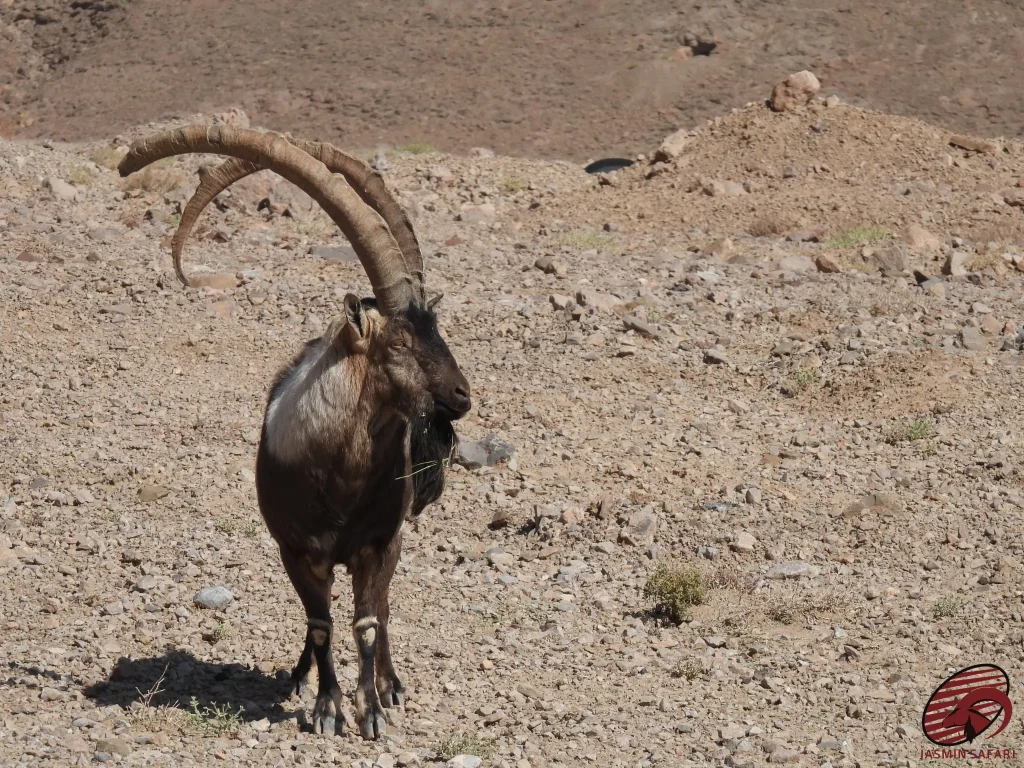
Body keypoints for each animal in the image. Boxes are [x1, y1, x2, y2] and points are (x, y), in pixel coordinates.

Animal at [119, 126, 472, 740]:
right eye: (399, 342)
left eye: (437, 330)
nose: (462, 396)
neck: (342, 480)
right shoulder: (297, 550)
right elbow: (322, 624)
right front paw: (327, 708)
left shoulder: (378, 544)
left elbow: (367, 623)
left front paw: (372, 712)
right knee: (318, 621)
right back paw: (300, 676)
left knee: (383, 608)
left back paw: (390, 683)